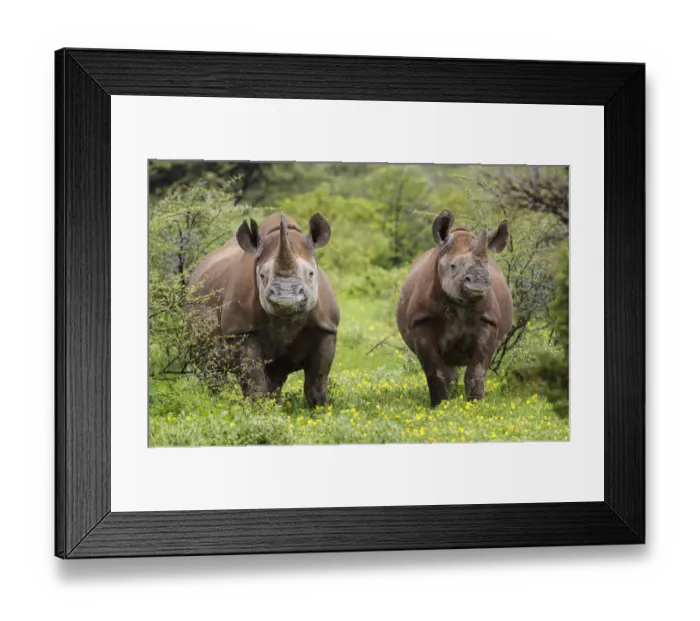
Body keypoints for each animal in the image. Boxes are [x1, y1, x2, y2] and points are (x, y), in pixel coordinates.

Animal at [186, 212, 339, 408]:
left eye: (311, 274)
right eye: (262, 276)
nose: (286, 298)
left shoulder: (327, 328)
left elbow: (317, 381)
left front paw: (320, 410)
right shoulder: (242, 330)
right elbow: (255, 381)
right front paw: (259, 411)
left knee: (276, 375)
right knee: (213, 370)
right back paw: (217, 403)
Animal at [396, 210, 513, 406]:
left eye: (487, 266)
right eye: (453, 266)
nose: (479, 281)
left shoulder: (489, 321)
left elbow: (476, 371)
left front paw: (476, 404)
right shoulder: (421, 323)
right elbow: (436, 372)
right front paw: (440, 405)